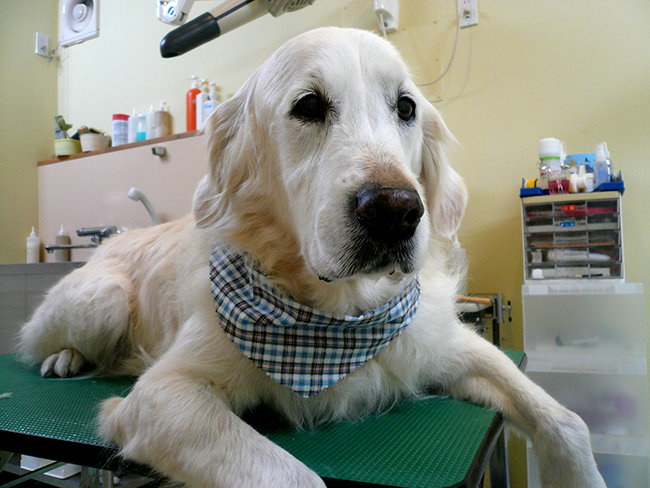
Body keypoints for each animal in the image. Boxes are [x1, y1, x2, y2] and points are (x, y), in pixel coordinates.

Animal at [19, 27, 606, 487]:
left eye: (406, 107)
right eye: (308, 106)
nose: (395, 210)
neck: (340, 319)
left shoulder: (445, 344)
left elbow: (568, 422)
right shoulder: (161, 395)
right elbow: (293, 476)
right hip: (103, 297)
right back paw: (64, 358)